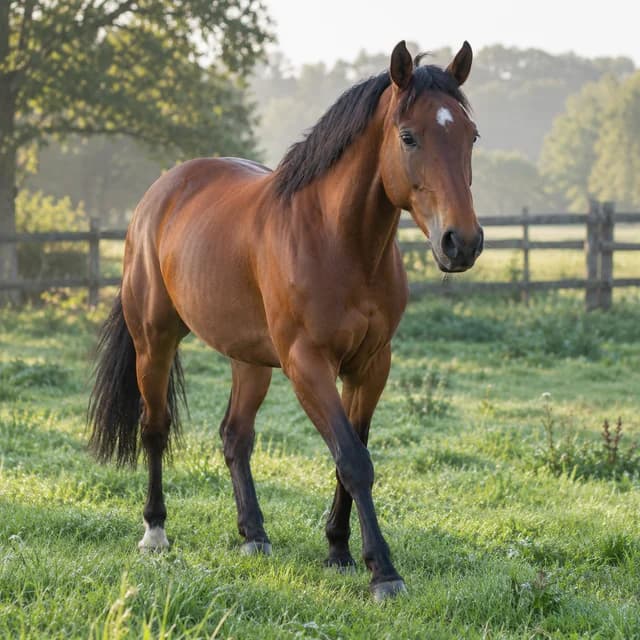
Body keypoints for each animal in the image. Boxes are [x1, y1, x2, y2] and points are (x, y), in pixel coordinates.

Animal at [88, 40, 483, 601]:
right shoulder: (307, 365)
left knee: (235, 436)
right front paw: (383, 571)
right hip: (154, 341)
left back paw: (254, 534)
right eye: (408, 136)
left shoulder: (371, 365)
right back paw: (155, 532)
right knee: (155, 428)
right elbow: (353, 460)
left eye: (471, 135)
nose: (461, 242)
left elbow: (351, 455)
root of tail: (161, 192)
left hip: (249, 360)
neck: (339, 242)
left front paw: (339, 550)